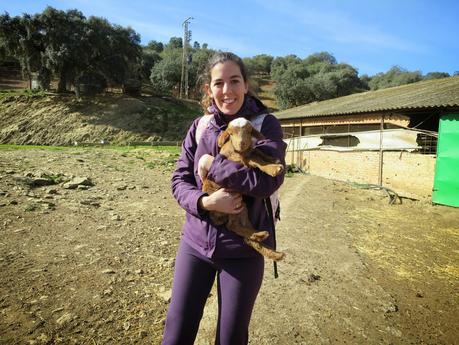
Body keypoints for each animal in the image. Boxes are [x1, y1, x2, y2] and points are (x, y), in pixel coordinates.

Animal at [202, 117, 286, 260]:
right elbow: (256, 160)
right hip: (226, 206)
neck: (239, 150)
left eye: (249, 131)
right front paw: (274, 168)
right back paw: (262, 237)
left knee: (243, 235)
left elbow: (257, 151)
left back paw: (270, 248)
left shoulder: (249, 151)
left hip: (241, 208)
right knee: (233, 226)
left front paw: (273, 159)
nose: (242, 143)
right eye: (230, 133)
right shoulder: (239, 159)